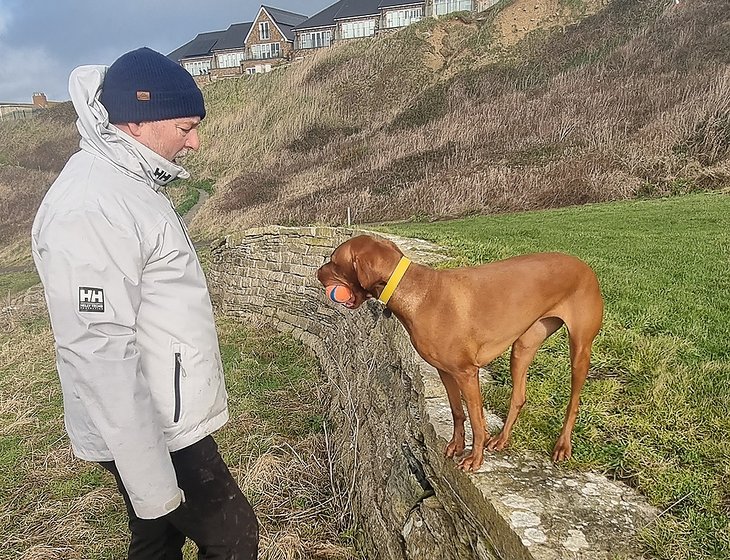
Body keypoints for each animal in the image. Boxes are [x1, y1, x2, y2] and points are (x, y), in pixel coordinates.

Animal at [317, 234, 603, 472]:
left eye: (334, 261)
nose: (318, 272)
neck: (419, 293)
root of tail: (584, 265)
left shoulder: (467, 373)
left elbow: (477, 420)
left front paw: (475, 458)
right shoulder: (446, 371)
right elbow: (457, 411)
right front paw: (457, 445)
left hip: (580, 349)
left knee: (574, 401)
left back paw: (563, 445)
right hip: (523, 346)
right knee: (519, 396)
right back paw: (501, 439)